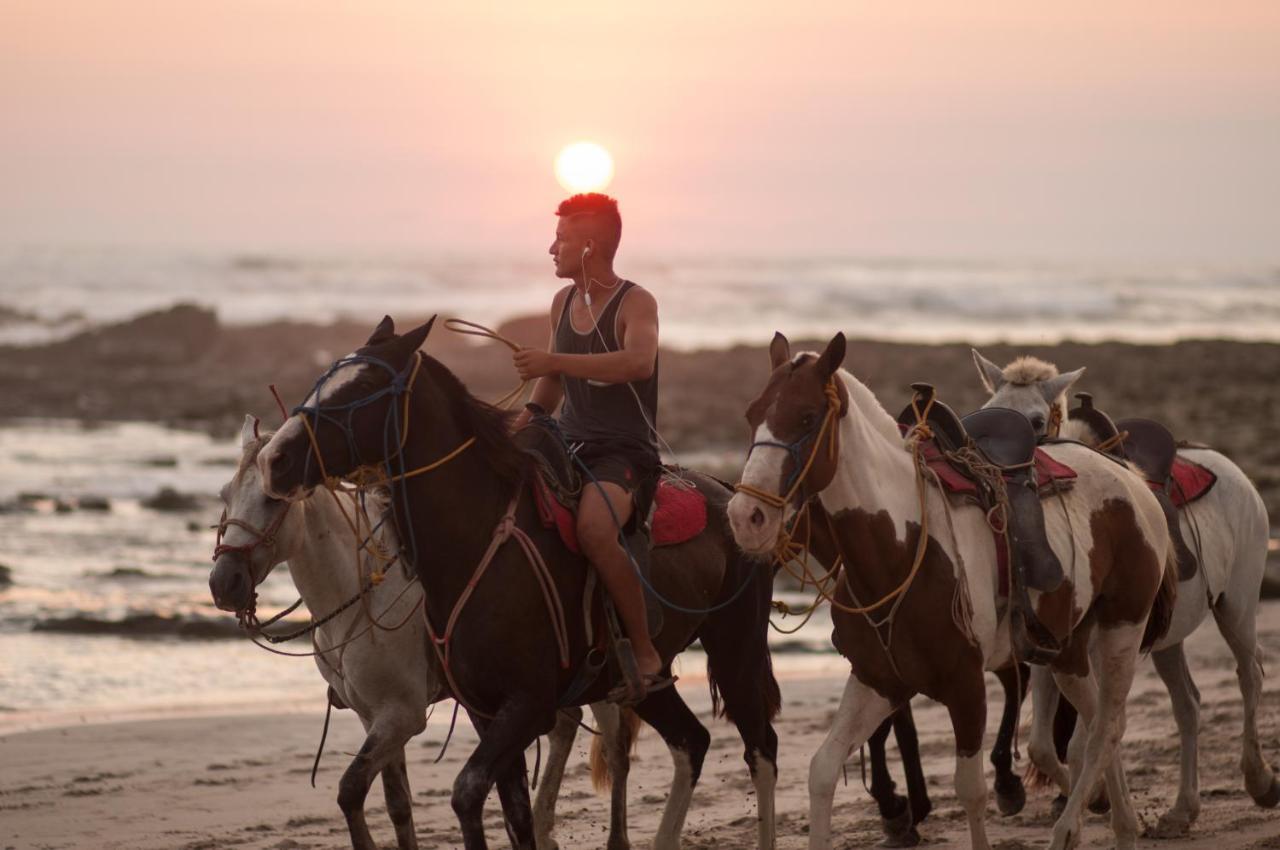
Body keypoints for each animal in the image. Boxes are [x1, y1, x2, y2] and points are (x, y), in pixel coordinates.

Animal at [208, 414, 634, 850]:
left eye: (273, 499)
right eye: (225, 494)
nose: (224, 583)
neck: (360, 594)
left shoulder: (402, 714)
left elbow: (351, 790)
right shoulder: (373, 716)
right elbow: (398, 804)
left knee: (616, 748)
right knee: (566, 727)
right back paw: (545, 828)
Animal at [257, 317, 778, 850]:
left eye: (362, 388)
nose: (274, 459)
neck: (477, 542)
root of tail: (729, 494)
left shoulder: (526, 705)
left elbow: (467, 793)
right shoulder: (485, 710)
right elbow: (512, 818)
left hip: (736, 649)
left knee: (760, 749)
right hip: (643, 682)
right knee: (692, 741)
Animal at [727, 332, 1172, 850]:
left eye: (806, 416)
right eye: (752, 413)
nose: (746, 517)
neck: (900, 547)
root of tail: (1129, 477)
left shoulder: (967, 687)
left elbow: (971, 790)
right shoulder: (878, 680)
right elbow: (822, 770)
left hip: (1123, 624)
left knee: (1107, 726)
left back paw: (1068, 828)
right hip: (1067, 649)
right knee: (1102, 720)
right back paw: (1121, 824)